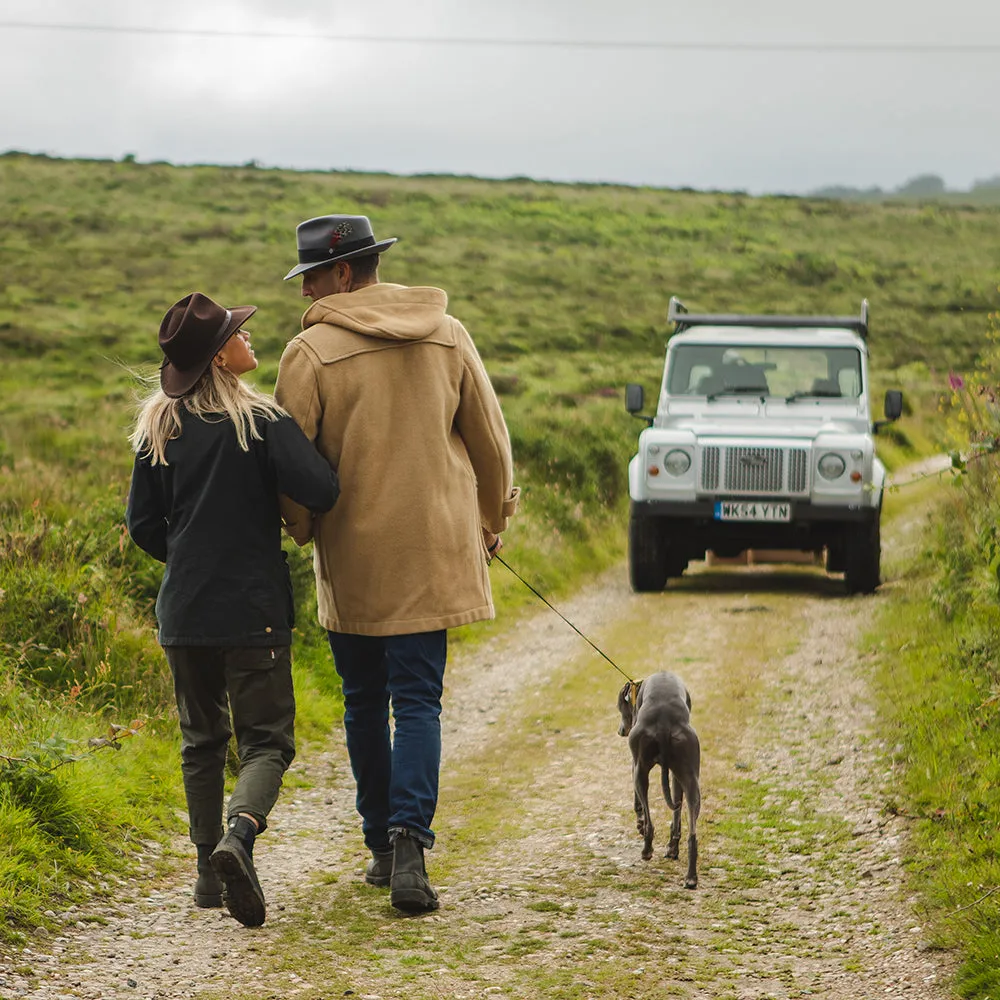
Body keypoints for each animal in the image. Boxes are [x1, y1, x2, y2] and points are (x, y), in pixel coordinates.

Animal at [616, 672, 704, 892]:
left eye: (619, 706)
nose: (621, 731)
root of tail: (664, 723)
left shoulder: (634, 765)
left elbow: (637, 804)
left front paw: (639, 824)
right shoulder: (675, 775)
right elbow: (676, 813)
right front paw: (673, 847)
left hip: (640, 770)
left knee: (649, 819)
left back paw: (646, 849)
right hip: (690, 777)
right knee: (691, 830)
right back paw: (689, 874)